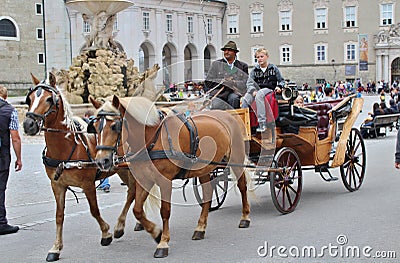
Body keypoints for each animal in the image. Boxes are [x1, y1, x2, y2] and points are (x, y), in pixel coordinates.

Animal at [21, 73, 154, 262]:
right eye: (29, 98)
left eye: (49, 99)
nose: (28, 124)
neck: (68, 146)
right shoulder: (57, 185)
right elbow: (59, 216)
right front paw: (56, 247)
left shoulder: (88, 184)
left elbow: (94, 210)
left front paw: (106, 233)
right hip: (122, 170)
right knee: (133, 191)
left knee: (134, 192)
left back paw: (121, 226)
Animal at [92, 96, 252, 258]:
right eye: (95, 126)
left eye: (114, 126)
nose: (101, 161)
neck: (153, 138)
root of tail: (227, 115)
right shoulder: (144, 180)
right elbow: (137, 210)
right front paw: (156, 233)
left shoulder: (165, 181)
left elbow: (165, 211)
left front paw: (163, 242)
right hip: (204, 168)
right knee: (207, 192)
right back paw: (200, 228)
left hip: (236, 158)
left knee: (242, 186)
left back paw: (245, 217)